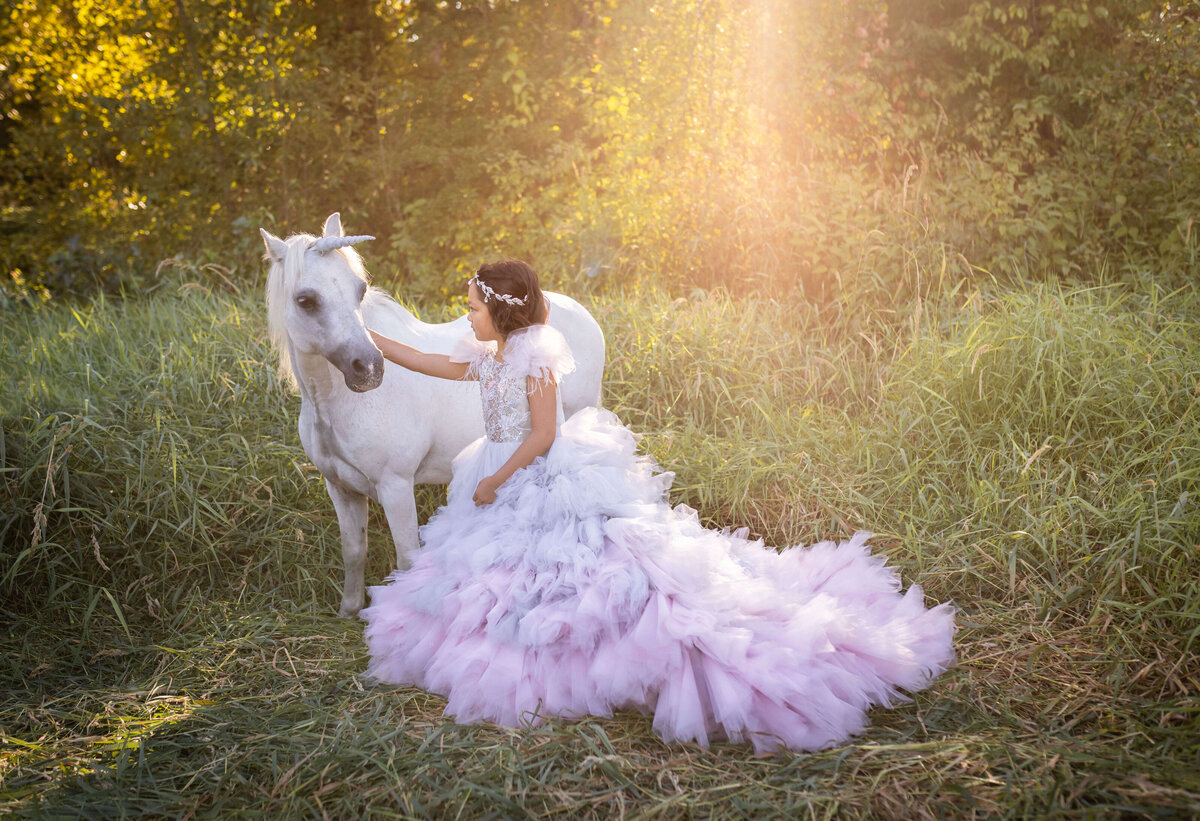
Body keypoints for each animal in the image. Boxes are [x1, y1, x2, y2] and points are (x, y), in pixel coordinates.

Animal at [260, 211, 600, 614]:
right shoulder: (340, 488)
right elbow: (353, 550)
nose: (370, 368)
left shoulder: (395, 486)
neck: (336, 405)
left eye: (359, 290)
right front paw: (349, 611)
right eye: (305, 300)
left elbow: (407, 559)